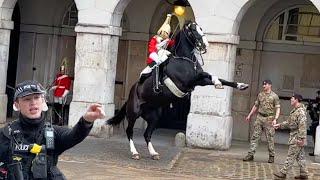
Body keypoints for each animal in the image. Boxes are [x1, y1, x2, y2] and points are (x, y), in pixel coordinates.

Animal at [106, 21, 249, 160]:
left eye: (201, 28)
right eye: (192, 30)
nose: (205, 45)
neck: (185, 59)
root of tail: (131, 93)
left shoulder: (199, 82)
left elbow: (219, 78)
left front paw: (241, 85)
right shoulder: (187, 81)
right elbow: (207, 74)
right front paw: (217, 82)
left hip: (154, 117)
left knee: (147, 134)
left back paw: (153, 153)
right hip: (133, 113)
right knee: (129, 132)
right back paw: (135, 153)